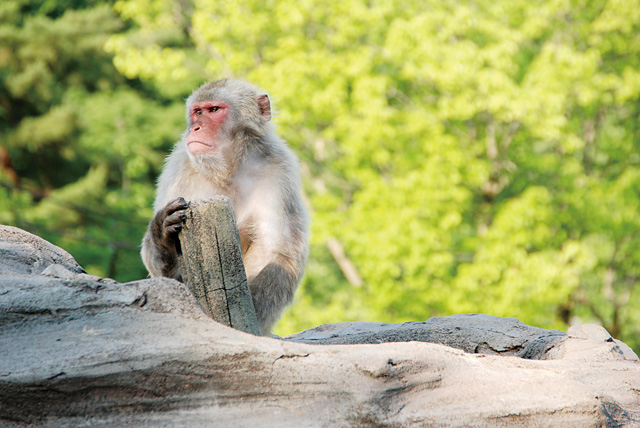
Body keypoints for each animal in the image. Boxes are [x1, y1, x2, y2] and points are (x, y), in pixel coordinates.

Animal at [141, 79, 310, 334]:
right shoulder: (179, 168)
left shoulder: (279, 170)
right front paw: (163, 234)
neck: (228, 168)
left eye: (214, 110)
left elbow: (277, 252)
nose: (196, 128)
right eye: (197, 112)